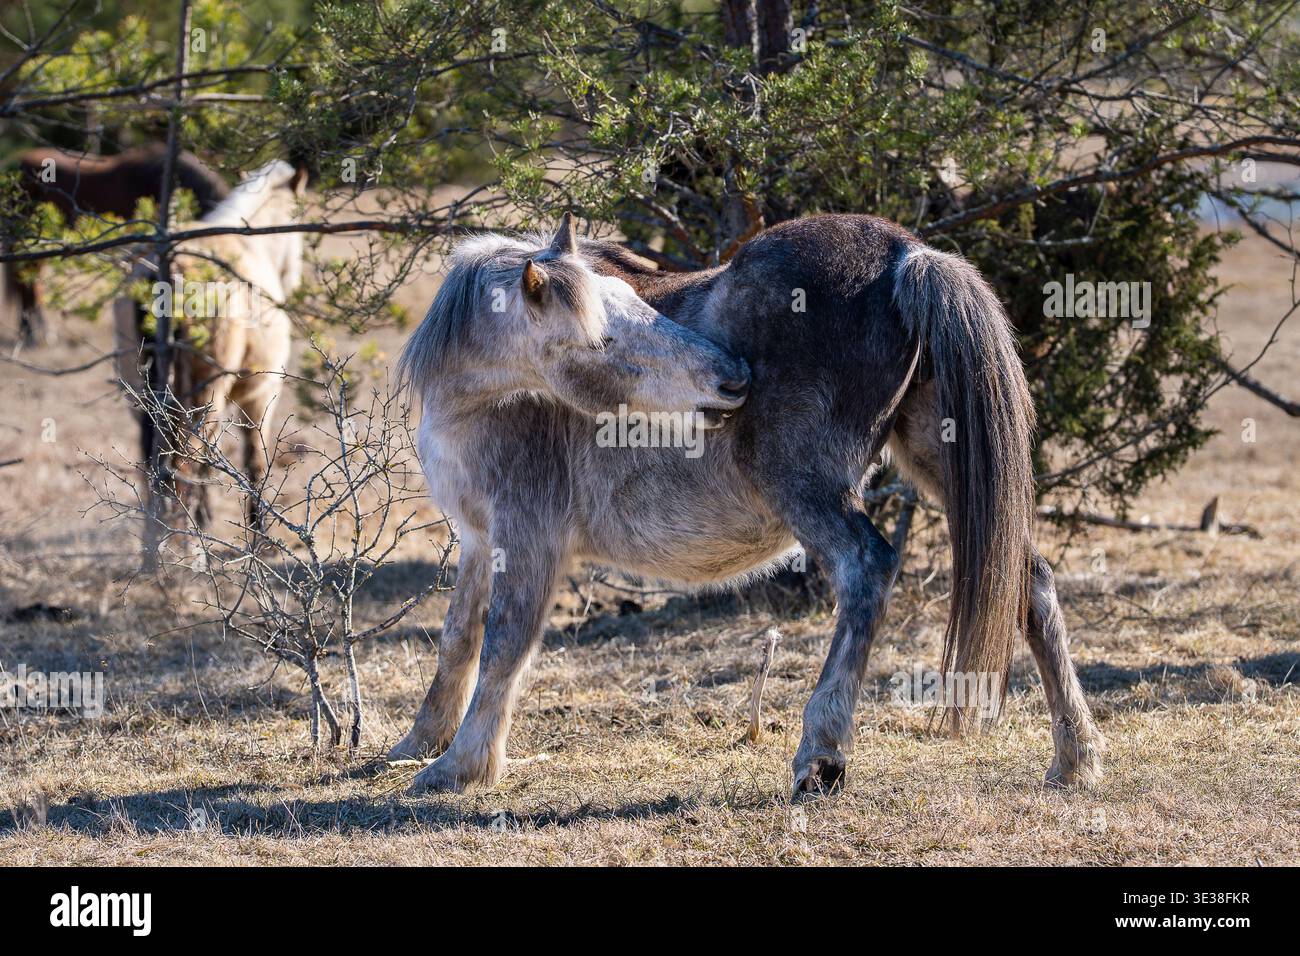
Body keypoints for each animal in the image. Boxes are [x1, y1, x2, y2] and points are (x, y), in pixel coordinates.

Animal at [112, 159, 306, 533]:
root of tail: (170, 266)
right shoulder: (260, 395)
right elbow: (255, 463)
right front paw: (258, 533)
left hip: (146, 397)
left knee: (156, 467)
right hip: (202, 398)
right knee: (183, 468)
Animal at [391, 212, 1105, 798]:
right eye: (602, 339)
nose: (732, 376)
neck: (478, 400)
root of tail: (910, 256)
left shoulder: (528, 537)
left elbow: (505, 644)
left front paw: (460, 766)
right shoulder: (480, 539)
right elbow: (458, 638)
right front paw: (419, 743)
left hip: (809, 490)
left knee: (866, 569)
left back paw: (821, 756)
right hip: (945, 461)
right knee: (1030, 580)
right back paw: (1075, 758)